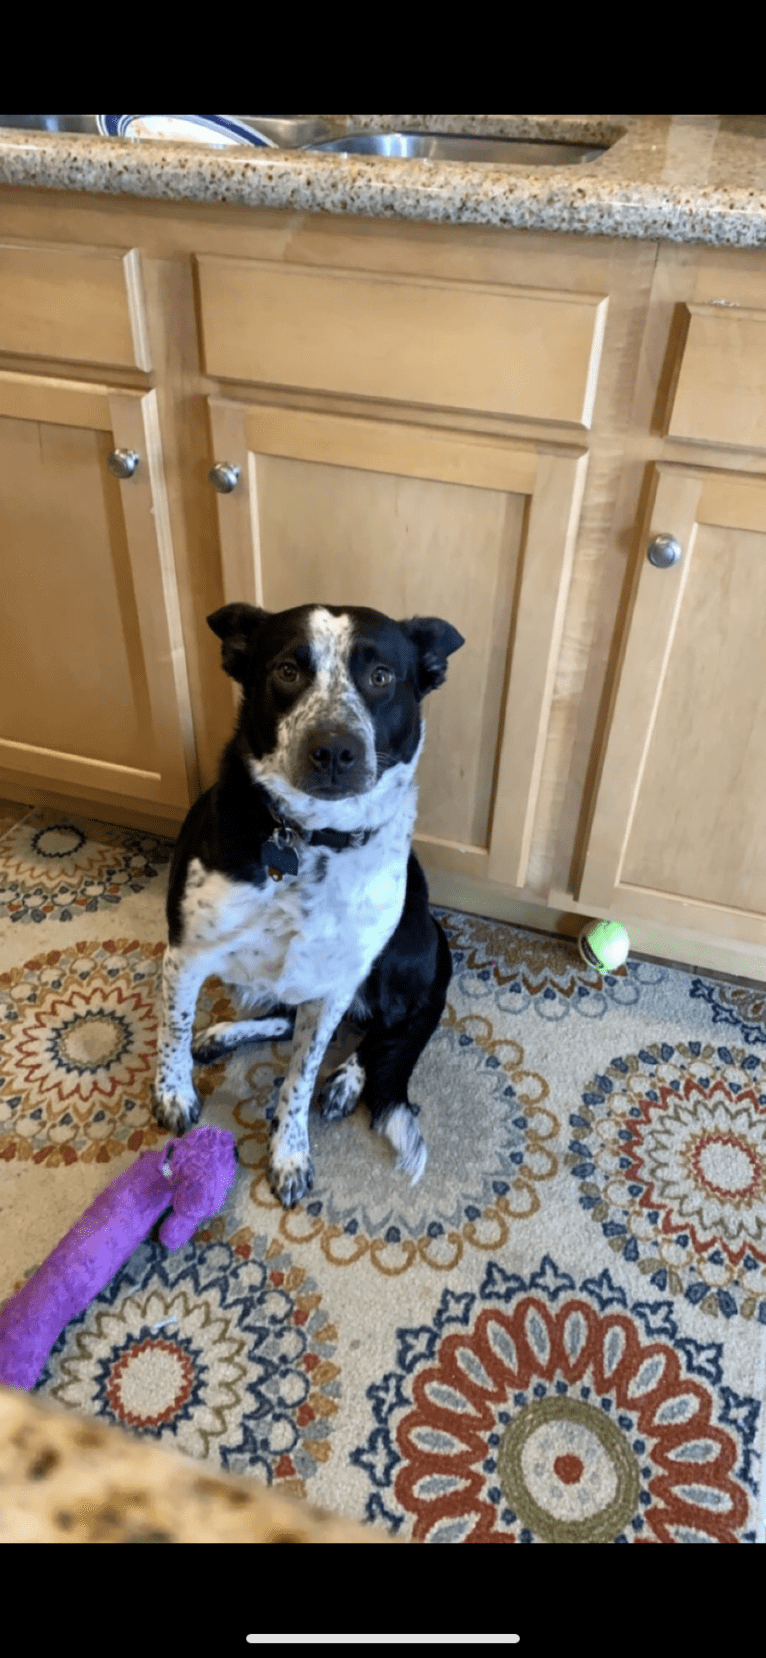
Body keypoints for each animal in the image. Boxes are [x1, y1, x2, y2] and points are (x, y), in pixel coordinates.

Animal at [150, 596, 460, 1207]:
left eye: (381, 676)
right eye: (288, 671)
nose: (335, 749)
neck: (310, 838)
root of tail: (437, 937)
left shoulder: (337, 983)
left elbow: (300, 1075)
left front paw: (290, 1152)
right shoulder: (186, 954)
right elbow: (173, 1027)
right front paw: (174, 1093)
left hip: (392, 956)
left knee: (391, 1026)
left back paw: (348, 1079)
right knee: (281, 1015)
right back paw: (223, 1034)